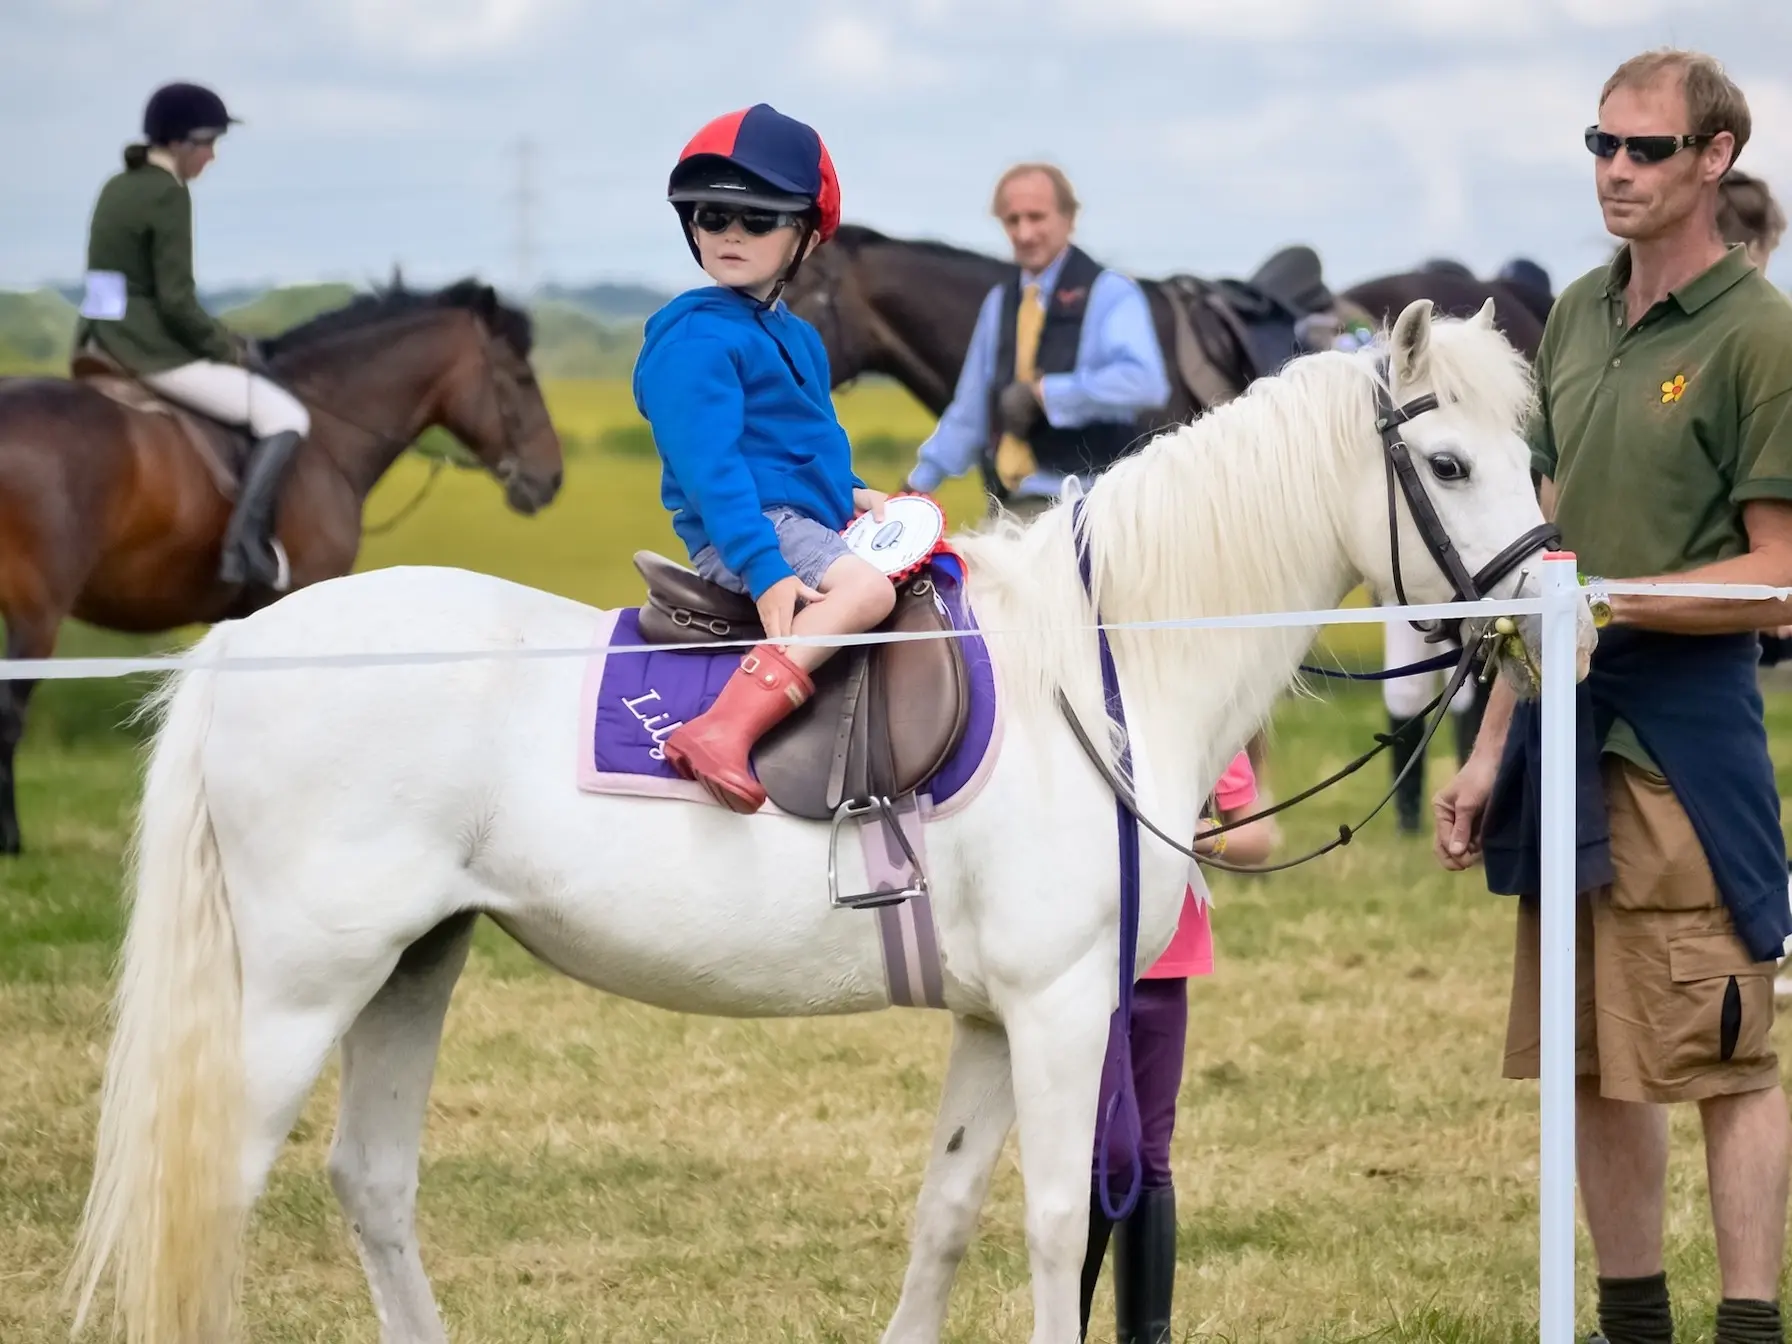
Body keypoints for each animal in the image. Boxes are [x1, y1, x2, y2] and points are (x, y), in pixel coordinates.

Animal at [69, 299, 1591, 1340]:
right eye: (1449, 465)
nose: (1548, 612)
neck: (1093, 666)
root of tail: (244, 645)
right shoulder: (1058, 1008)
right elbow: (1055, 1222)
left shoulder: (992, 1019)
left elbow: (949, 1213)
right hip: (302, 989)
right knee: (218, 1188)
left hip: (413, 966)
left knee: (371, 1182)